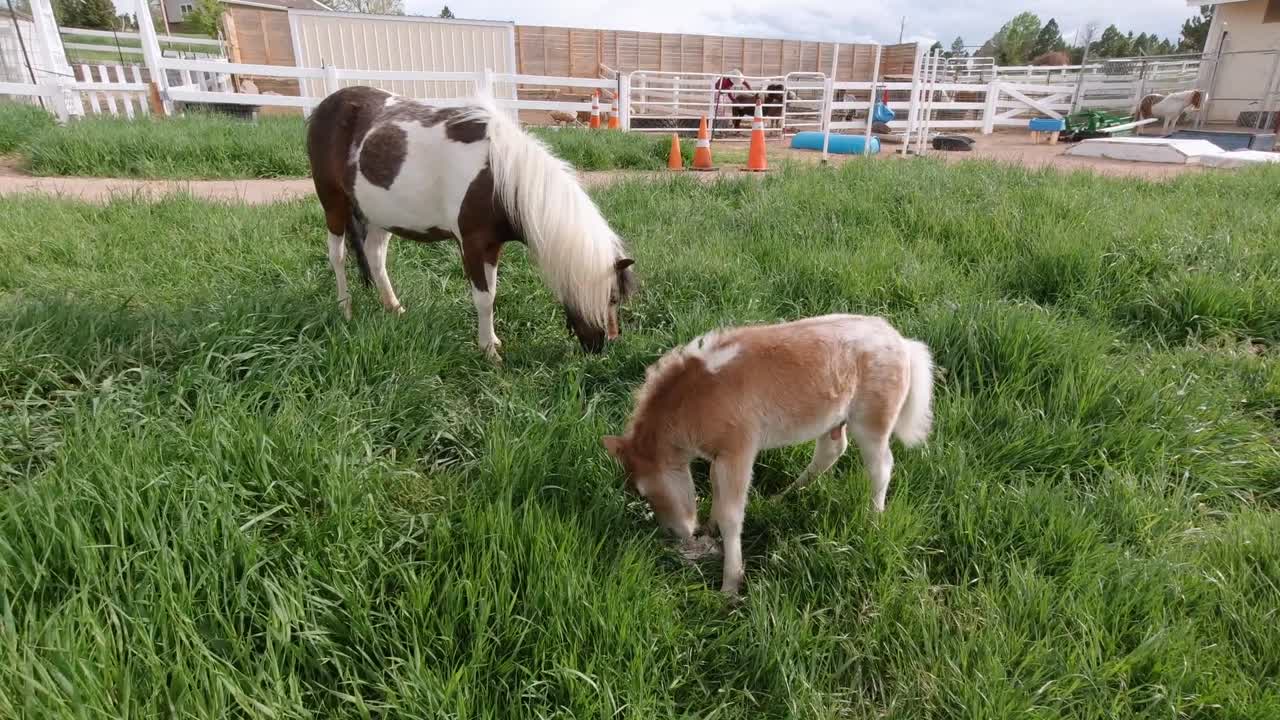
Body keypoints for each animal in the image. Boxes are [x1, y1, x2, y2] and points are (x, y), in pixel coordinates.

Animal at [307, 86, 637, 360]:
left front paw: (492, 341)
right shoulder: (474, 245)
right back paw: (345, 308)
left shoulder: (492, 247)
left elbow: (492, 293)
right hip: (333, 203)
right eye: (611, 297)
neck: (499, 178)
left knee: (375, 255)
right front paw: (489, 351)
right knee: (337, 256)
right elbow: (484, 298)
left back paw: (394, 307)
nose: (602, 346)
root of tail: (327, 104)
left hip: (380, 213)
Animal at [602, 314, 935, 595]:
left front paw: (730, 586)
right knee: (831, 451)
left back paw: (873, 519)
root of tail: (903, 343)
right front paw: (710, 527)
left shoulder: (738, 452)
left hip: (871, 424)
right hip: (831, 420)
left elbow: (732, 514)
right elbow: (717, 492)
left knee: (881, 467)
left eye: (644, 491)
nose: (676, 534)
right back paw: (782, 496)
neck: (695, 400)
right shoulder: (719, 456)